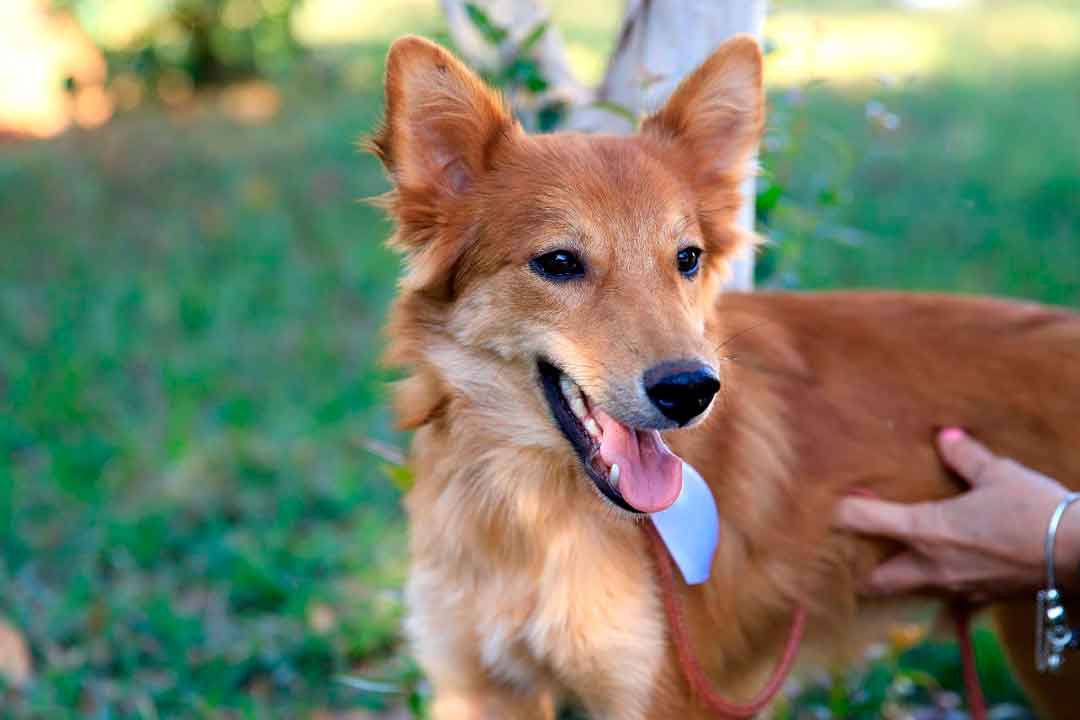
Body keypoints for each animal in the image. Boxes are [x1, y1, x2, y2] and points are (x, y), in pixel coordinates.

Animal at [365, 31, 1080, 716]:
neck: (527, 511)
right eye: (559, 262)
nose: (690, 390)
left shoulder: (674, 697)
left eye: (687, 258)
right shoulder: (477, 688)